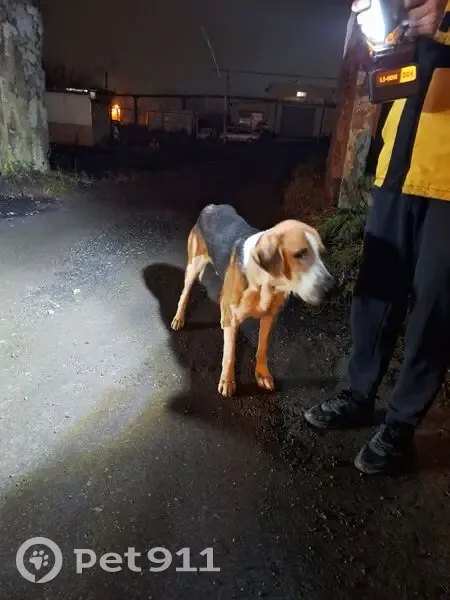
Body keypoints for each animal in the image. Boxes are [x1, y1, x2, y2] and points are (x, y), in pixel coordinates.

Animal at [171, 204, 334, 397]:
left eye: (322, 254)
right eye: (300, 254)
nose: (332, 288)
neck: (265, 281)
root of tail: (211, 207)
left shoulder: (269, 317)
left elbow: (262, 348)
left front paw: (262, 375)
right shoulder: (234, 317)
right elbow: (229, 354)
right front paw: (227, 381)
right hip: (193, 266)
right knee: (185, 294)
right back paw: (179, 318)